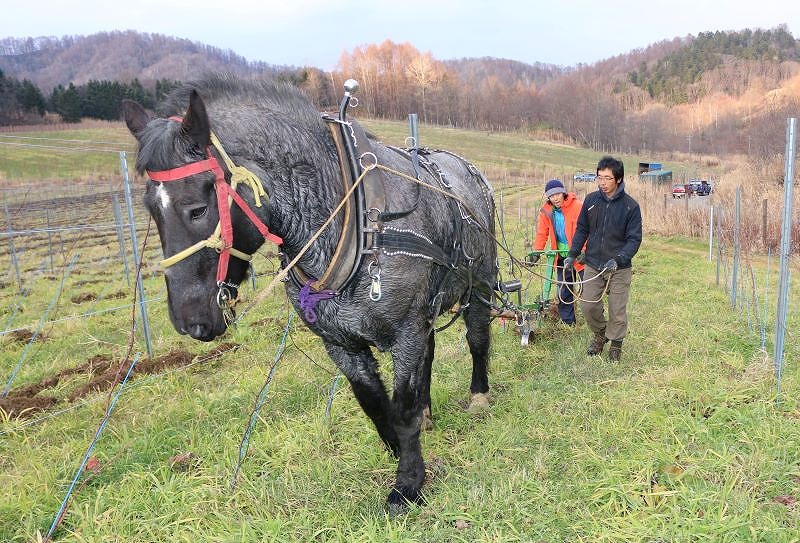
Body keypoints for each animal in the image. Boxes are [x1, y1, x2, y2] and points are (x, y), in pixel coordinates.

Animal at [122, 74, 496, 512]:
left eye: (198, 207)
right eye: (149, 208)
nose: (190, 321)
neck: (354, 214)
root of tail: (464, 167)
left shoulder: (406, 329)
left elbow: (402, 410)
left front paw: (408, 482)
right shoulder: (341, 342)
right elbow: (376, 406)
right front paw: (400, 450)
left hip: (480, 282)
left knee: (477, 338)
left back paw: (479, 396)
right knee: (430, 354)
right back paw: (430, 412)